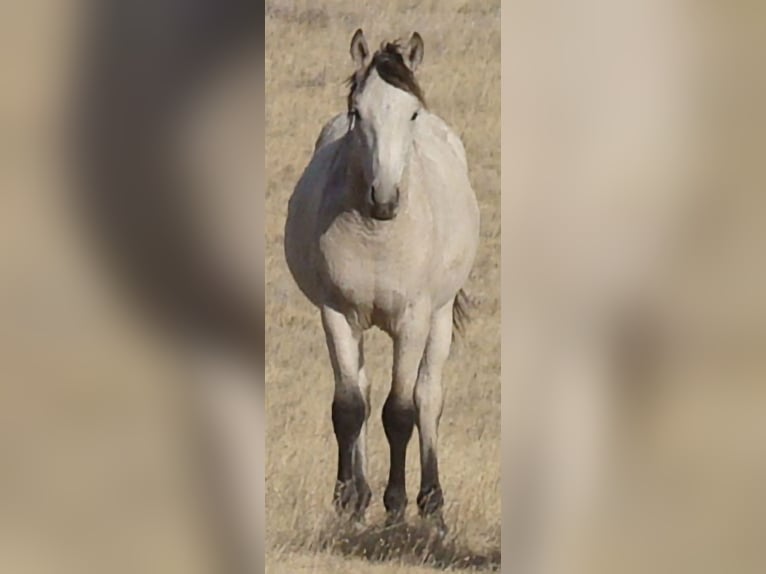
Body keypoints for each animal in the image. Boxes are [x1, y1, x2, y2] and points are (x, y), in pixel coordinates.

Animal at [284, 28, 484, 536]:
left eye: (411, 113)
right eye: (358, 112)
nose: (384, 198)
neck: (377, 234)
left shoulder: (412, 320)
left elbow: (401, 411)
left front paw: (396, 506)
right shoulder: (335, 315)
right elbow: (349, 406)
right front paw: (346, 500)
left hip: (439, 317)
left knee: (427, 397)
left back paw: (431, 503)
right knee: (364, 390)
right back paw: (361, 494)